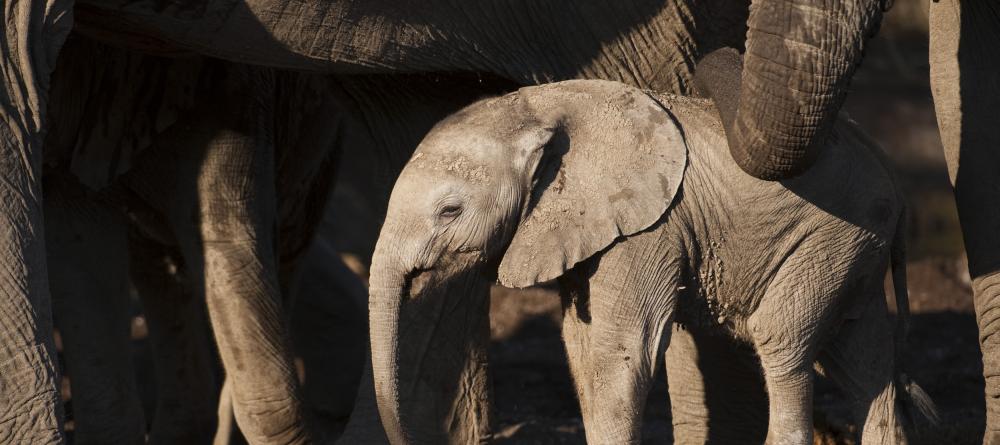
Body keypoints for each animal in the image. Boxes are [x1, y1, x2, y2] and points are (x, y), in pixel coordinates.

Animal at [367, 79, 939, 444]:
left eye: (449, 211)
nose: (409, 437)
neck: (536, 106)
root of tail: (893, 175)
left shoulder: (648, 229)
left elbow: (621, 352)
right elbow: (581, 349)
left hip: (836, 236)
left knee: (783, 339)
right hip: (853, 250)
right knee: (864, 361)